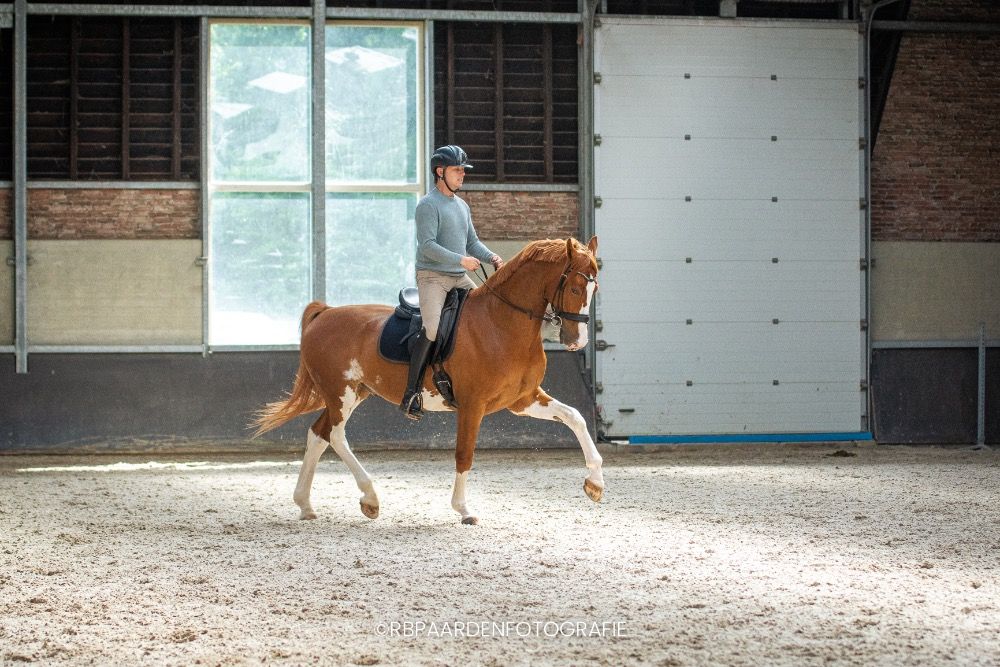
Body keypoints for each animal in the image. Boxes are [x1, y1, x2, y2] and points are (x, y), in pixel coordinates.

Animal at [252, 236, 604, 525]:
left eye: (594, 289)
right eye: (575, 288)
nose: (577, 341)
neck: (500, 323)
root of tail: (324, 313)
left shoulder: (522, 399)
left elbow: (575, 417)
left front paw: (595, 482)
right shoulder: (472, 406)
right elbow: (464, 454)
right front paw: (463, 509)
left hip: (352, 393)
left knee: (318, 434)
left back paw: (305, 505)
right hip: (341, 392)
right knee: (337, 436)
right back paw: (370, 498)